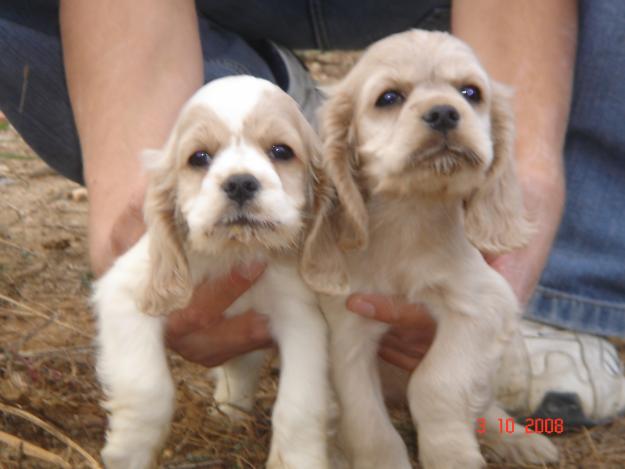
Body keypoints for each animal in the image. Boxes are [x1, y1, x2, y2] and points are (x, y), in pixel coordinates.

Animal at [93, 76, 330, 468]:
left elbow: (299, 407)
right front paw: (128, 451)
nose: (240, 182)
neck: (233, 252)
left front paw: (299, 459)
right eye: (199, 157)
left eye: (281, 151)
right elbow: (148, 386)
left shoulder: (302, 320)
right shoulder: (125, 297)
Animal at [300, 31, 560, 468]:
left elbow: (434, 383)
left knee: (484, 406)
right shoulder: (348, 332)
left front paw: (451, 454)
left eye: (470, 92)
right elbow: (366, 420)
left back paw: (519, 440)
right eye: (389, 98)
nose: (443, 113)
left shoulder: (483, 307)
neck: (410, 216)